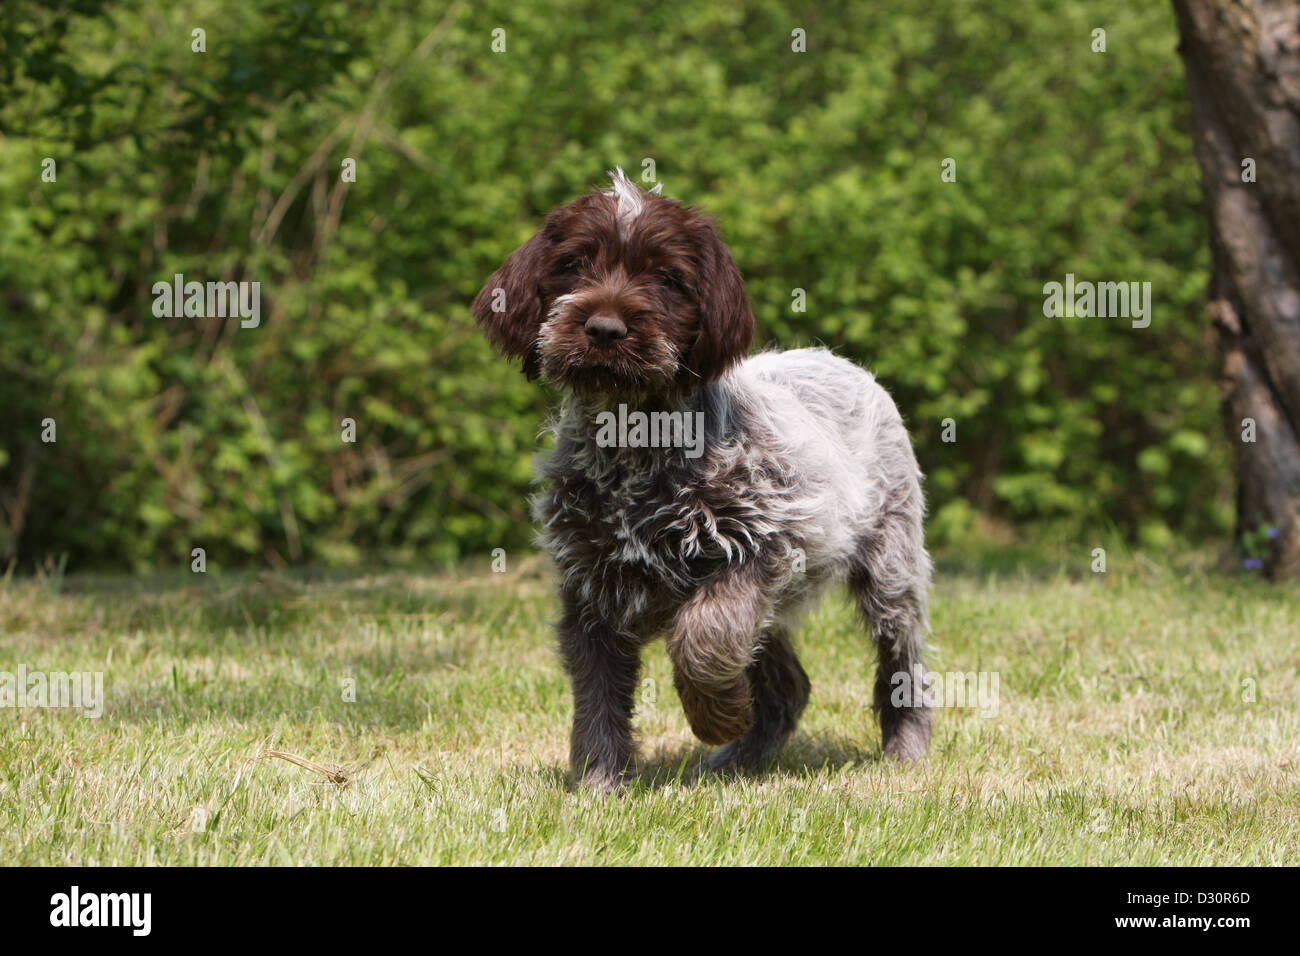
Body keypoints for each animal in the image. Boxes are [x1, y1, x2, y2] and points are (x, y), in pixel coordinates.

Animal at [473, 166, 930, 790]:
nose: (604, 328)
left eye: (667, 277)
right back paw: (743, 755)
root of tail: (839, 361)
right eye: (574, 264)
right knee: (788, 685)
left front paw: (715, 715)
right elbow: (597, 697)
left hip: (890, 568)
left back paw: (905, 748)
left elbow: (703, 636)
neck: (635, 445)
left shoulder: (762, 546)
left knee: (902, 660)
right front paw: (598, 785)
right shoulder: (590, 588)